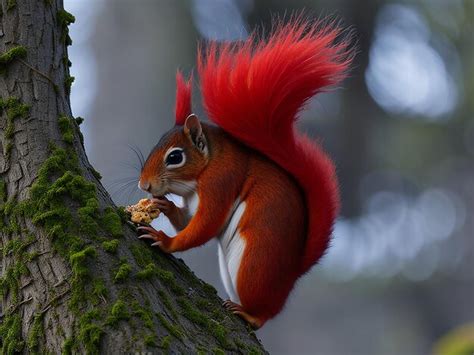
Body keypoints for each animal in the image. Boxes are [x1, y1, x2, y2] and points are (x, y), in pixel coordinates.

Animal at [136, 18, 352, 330]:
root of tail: (292, 275)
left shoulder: (221, 181)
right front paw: (164, 205)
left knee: (262, 314)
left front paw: (165, 241)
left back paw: (250, 313)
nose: (144, 185)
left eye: (175, 157)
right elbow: (188, 220)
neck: (200, 176)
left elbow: (205, 225)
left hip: (254, 261)